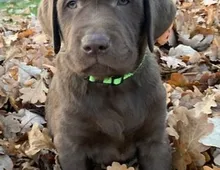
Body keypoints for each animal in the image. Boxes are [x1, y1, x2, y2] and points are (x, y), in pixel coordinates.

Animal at [37, 0, 175, 169]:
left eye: (123, 2)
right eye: (72, 4)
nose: (94, 45)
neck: (109, 84)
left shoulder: (155, 139)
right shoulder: (71, 145)